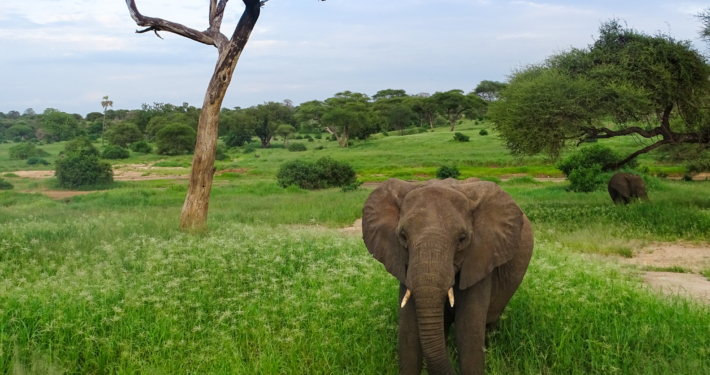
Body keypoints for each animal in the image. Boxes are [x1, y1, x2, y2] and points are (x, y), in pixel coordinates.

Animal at [362, 178, 536, 374]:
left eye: (462, 239)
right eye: (403, 237)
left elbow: (467, 331)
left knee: (489, 323)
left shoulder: (481, 259)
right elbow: (409, 330)